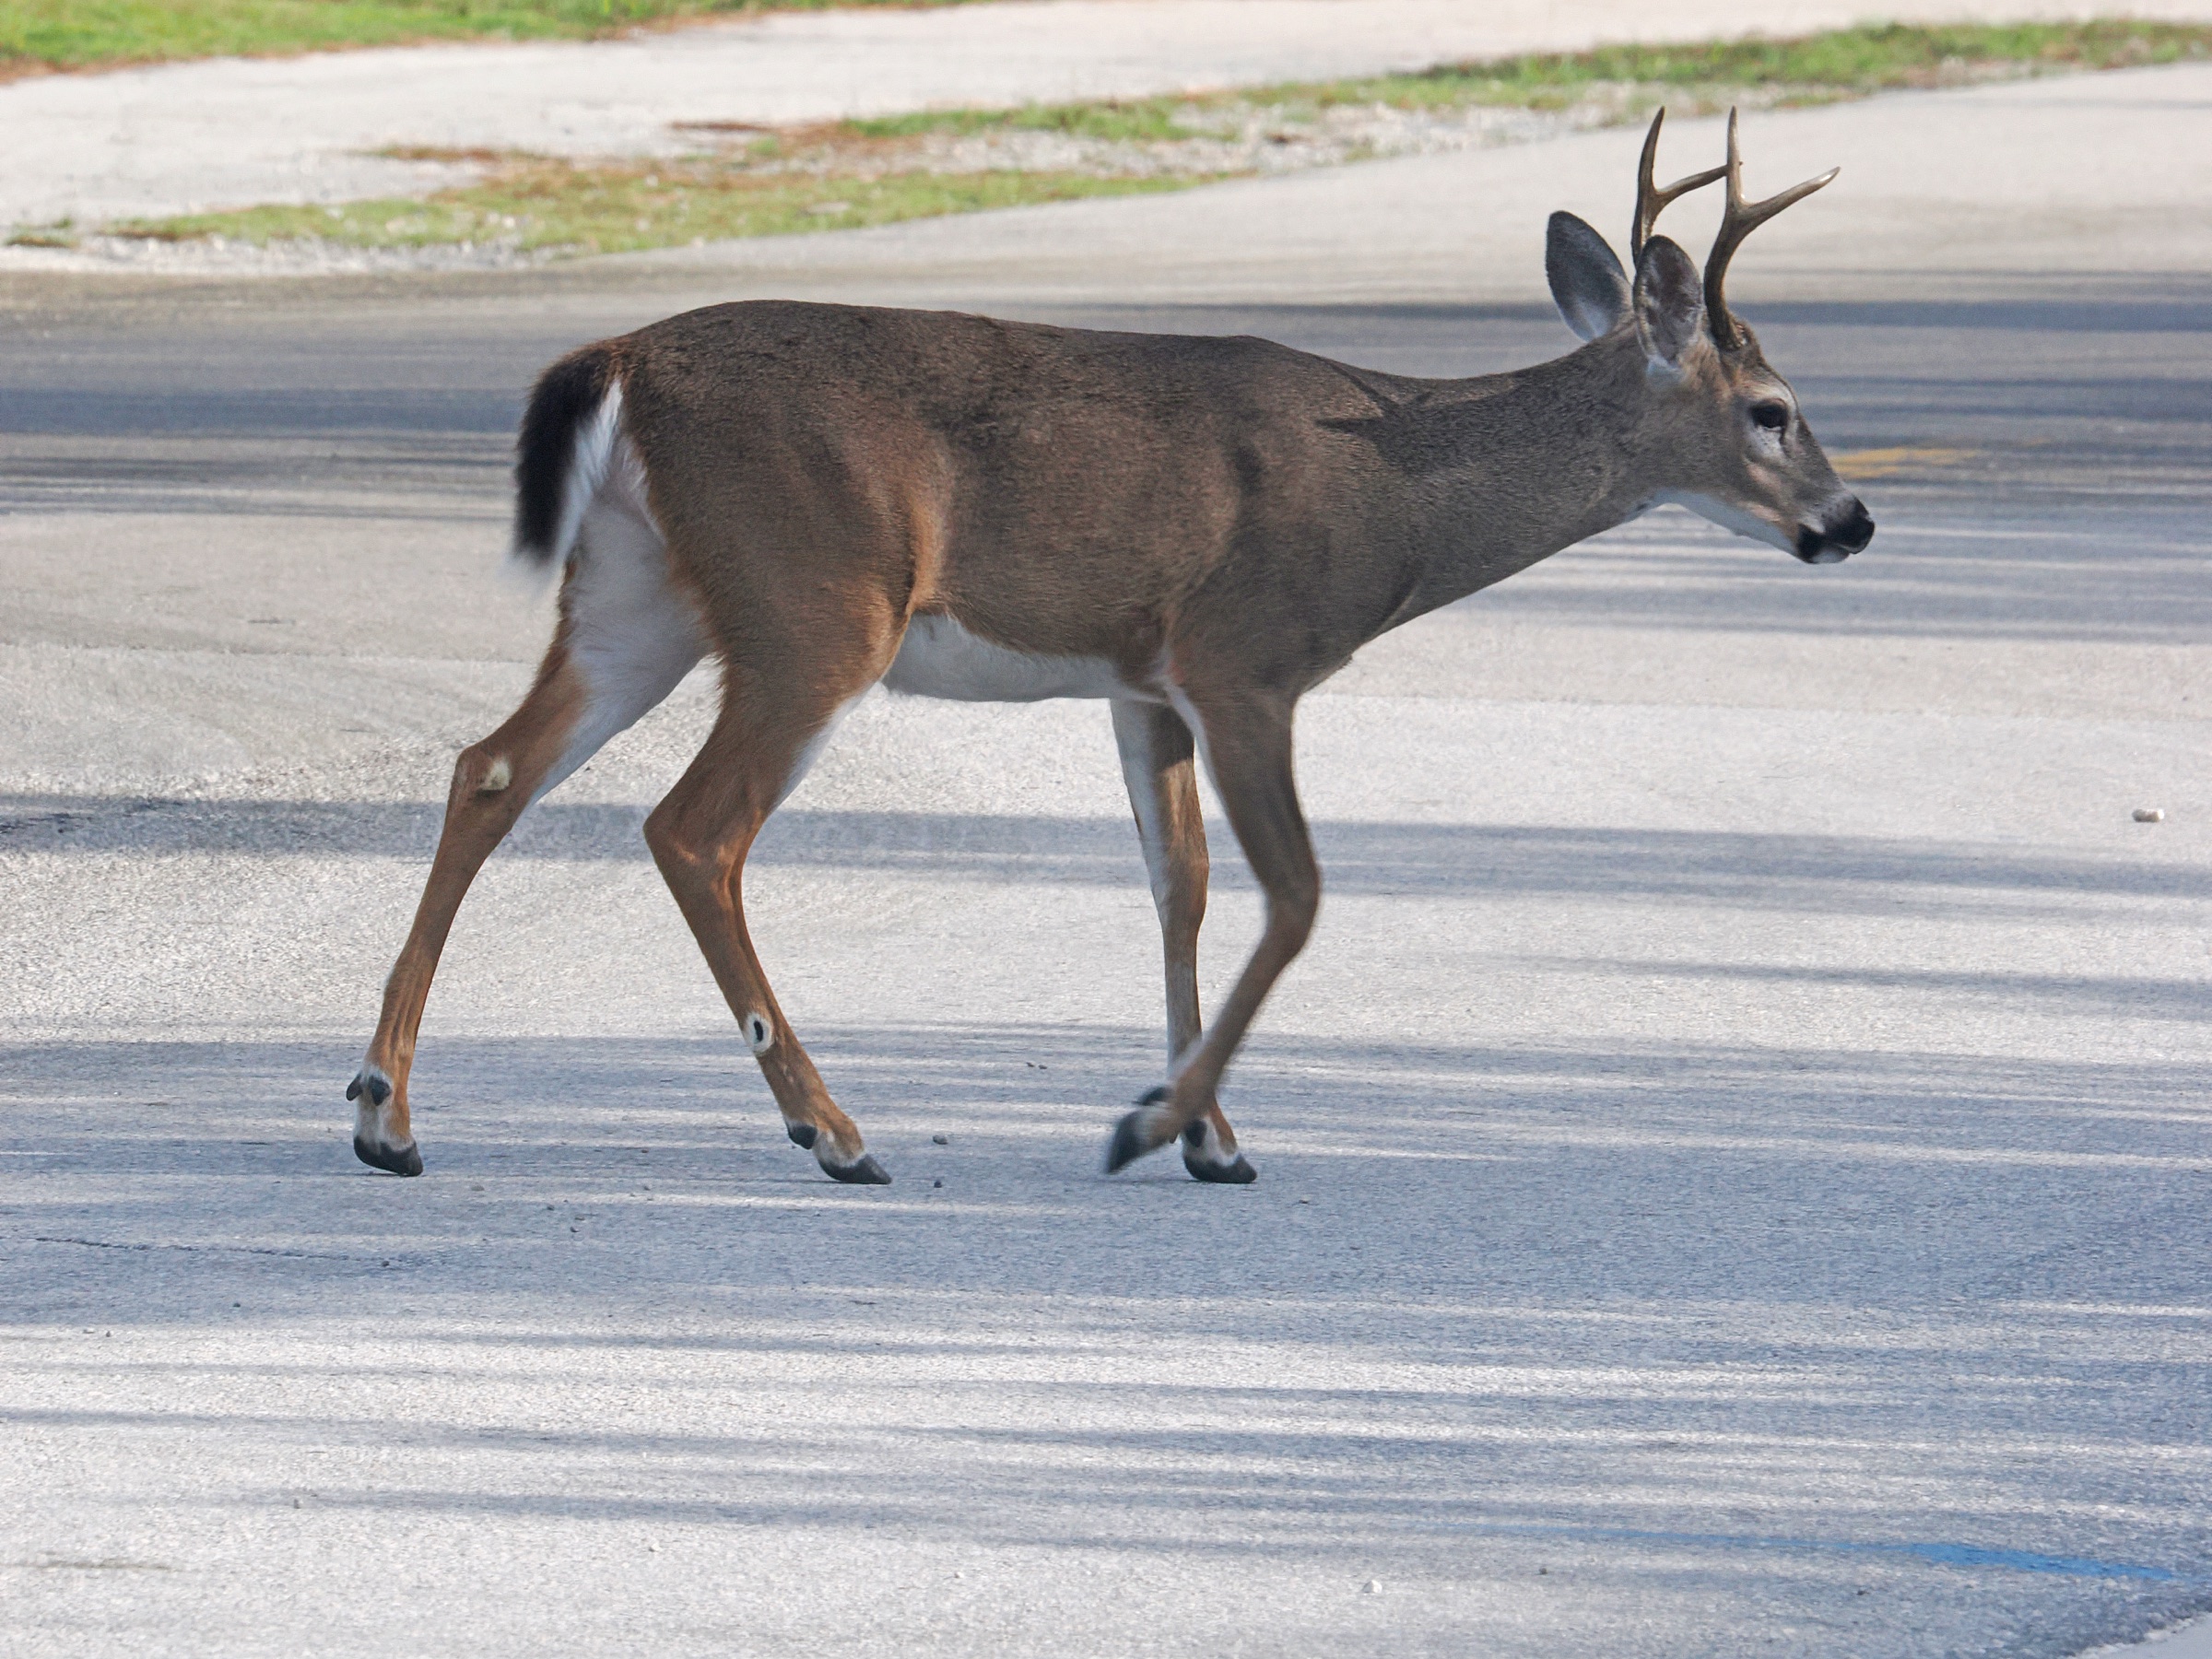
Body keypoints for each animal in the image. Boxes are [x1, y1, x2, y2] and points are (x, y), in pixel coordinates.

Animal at [347, 108, 1872, 1187]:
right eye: (1773, 410)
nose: (1852, 521)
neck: (1393, 497)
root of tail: (620, 358)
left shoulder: (1146, 681)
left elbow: (1178, 885)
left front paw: (1210, 1135)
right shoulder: (1246, 654)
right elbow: (1295, 894)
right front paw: (1155, 1125)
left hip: (639, 592)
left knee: (489, 768)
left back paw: (385, 1113)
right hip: (817, 601)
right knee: (691, 828)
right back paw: (834, 1132)